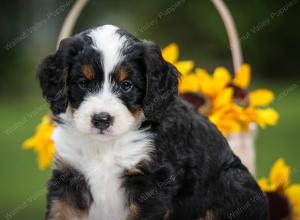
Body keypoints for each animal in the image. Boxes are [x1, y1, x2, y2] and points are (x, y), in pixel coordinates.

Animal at [38, 24, 270, 219]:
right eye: (83, 83)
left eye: (126, 85)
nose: (101, 120)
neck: (106, 146)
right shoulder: (67, 179)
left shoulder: (152, 184)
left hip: (231, 180)